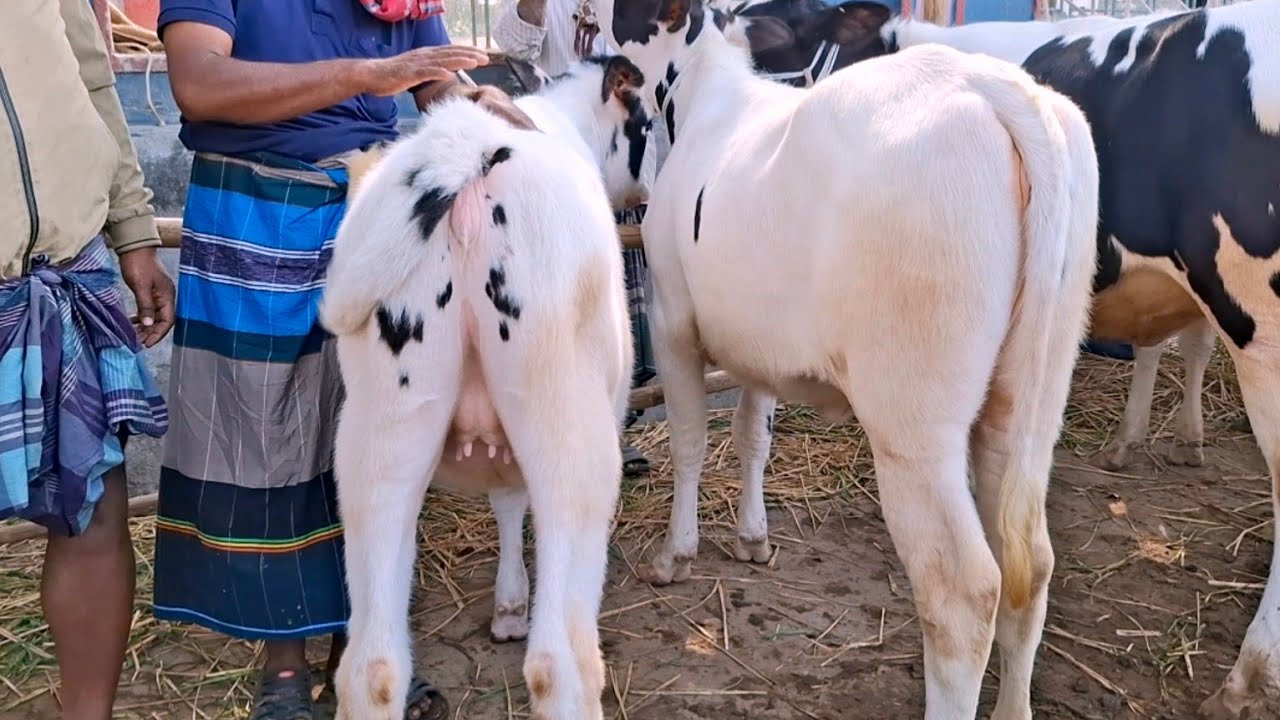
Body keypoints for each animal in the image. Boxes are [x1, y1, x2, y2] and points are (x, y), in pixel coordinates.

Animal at [319, 57, 650, 719]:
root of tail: (463, 150)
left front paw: (508, 605)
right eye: (647, 125)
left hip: (380, 433)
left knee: (372, 667)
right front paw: (515, 604)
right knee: (559, 664)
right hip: (569, 428)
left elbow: (506, 497)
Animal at [596, 0, 1101, 715]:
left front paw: (676, 555)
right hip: (1032, 395)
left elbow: (691, 440)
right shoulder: (761, 347)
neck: (707, 94)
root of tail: (992, 84)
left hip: (913, 421)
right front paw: (753, 538)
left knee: (963, 590)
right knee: (1028, 562)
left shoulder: (671, 318)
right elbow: (753, 437)